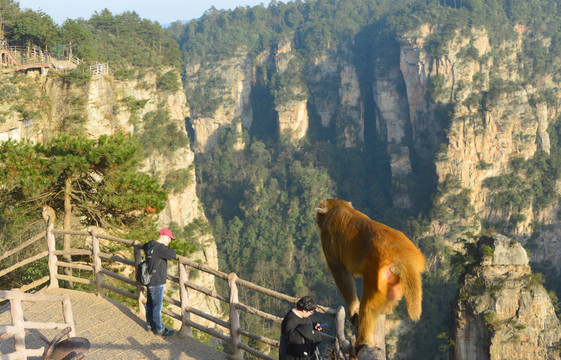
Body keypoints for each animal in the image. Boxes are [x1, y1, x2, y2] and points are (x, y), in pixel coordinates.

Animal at [316, 198, 424, 348]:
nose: (317, 221)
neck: (339, 207)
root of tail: (403, 256)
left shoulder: (327, 234)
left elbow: (341, 273)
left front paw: (353, 309)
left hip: (377, 275)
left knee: (368, 306)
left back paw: (364, 341)